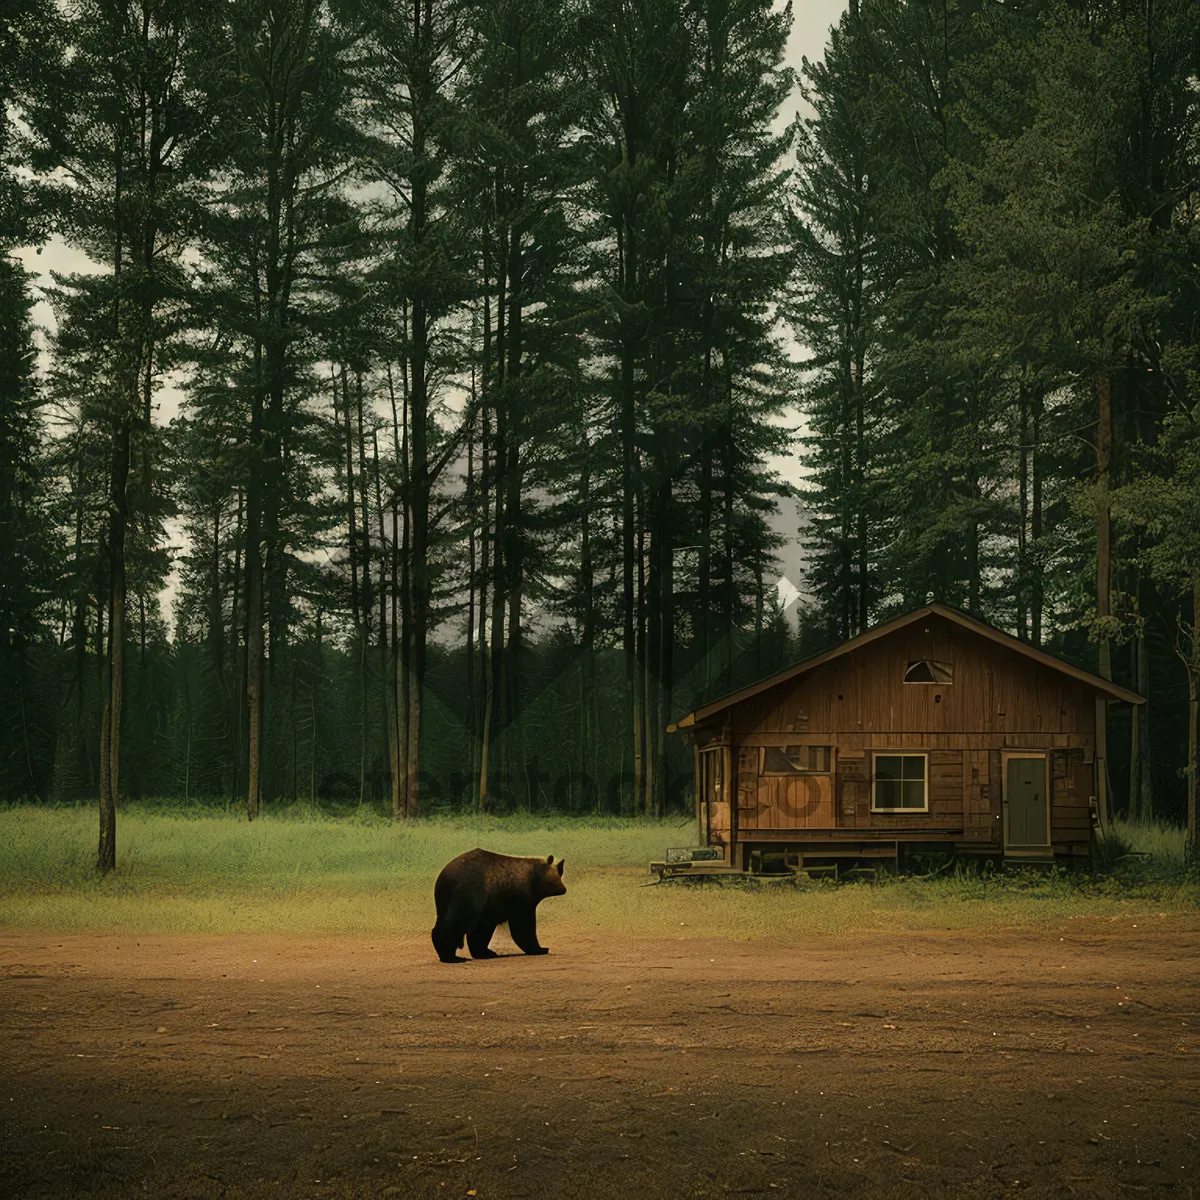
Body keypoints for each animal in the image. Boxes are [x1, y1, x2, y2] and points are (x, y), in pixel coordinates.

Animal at [432, 844, 566, 964]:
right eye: (559, 871)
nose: (563, 889)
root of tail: (446, 877)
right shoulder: (520, 899)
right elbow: (522, 926)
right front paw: (540, 948)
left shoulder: (490, 907)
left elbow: (481, 931)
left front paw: (485, 952)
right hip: (467, 893)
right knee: (456, 922)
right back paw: (452, 957)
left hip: (444, 900)